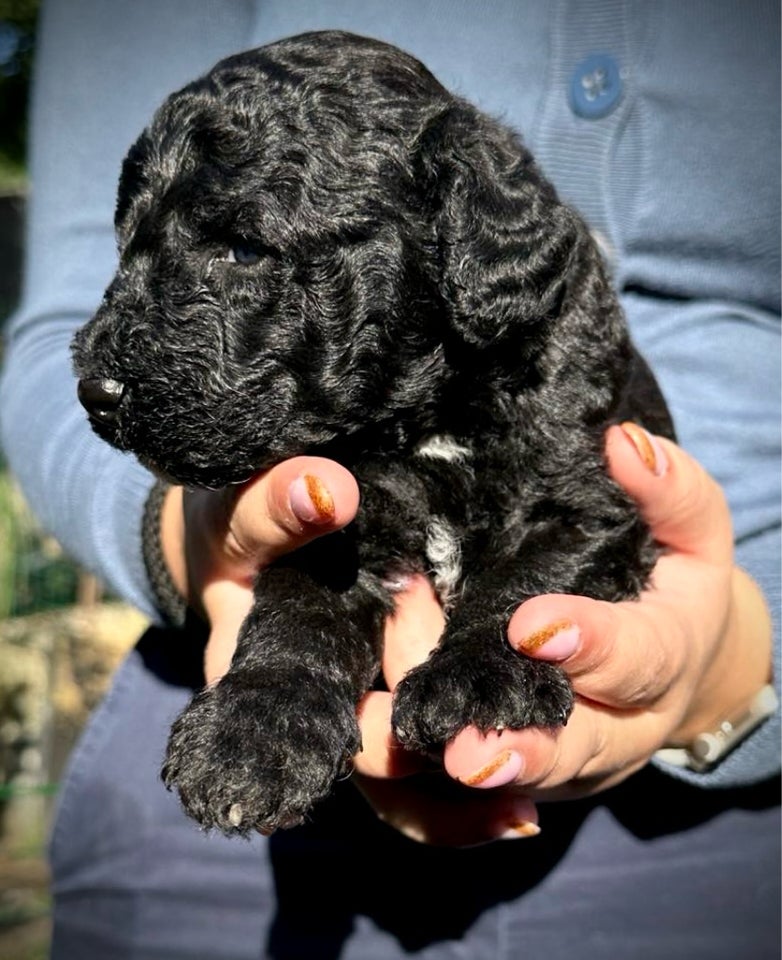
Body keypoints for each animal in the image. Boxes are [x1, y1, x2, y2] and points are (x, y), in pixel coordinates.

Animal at [72, 30, 672, 836]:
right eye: (125, 244)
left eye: (244, 249)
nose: (94, 394)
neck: (425, 421)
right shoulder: (333, 508)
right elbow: (299, 608)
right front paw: (253, 732)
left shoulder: (595, 503)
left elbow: (529, 582)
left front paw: (479, 675)